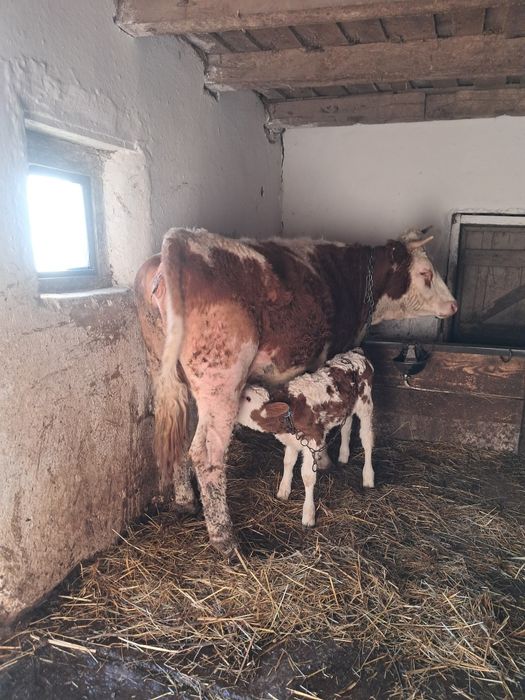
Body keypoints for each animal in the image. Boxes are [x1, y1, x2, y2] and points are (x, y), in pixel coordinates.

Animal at [236, 349, 375, 528]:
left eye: (248, 399)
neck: (289, 412)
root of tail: (355, 353)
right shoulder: (292, 441)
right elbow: (288, 463)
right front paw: (283, 490)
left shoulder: (313, 442)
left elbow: (308, 477)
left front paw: (308, 514)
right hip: (347, 409)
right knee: (346, 427)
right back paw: (343, 455)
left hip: (366, 404)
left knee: (367, 439)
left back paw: (368, 476)